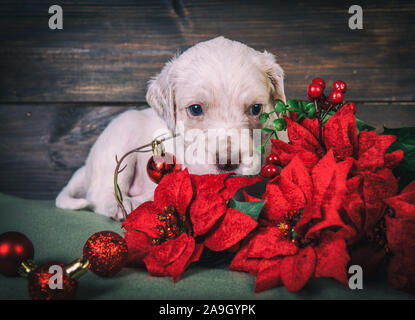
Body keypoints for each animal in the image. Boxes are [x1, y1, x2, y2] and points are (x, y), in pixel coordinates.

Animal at [56, 35, 286, 220]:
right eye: (195, 109)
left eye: (256, 108)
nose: (227, 162)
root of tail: (85, 168)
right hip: (122, 133)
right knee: (100, 194)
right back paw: (126, 205)